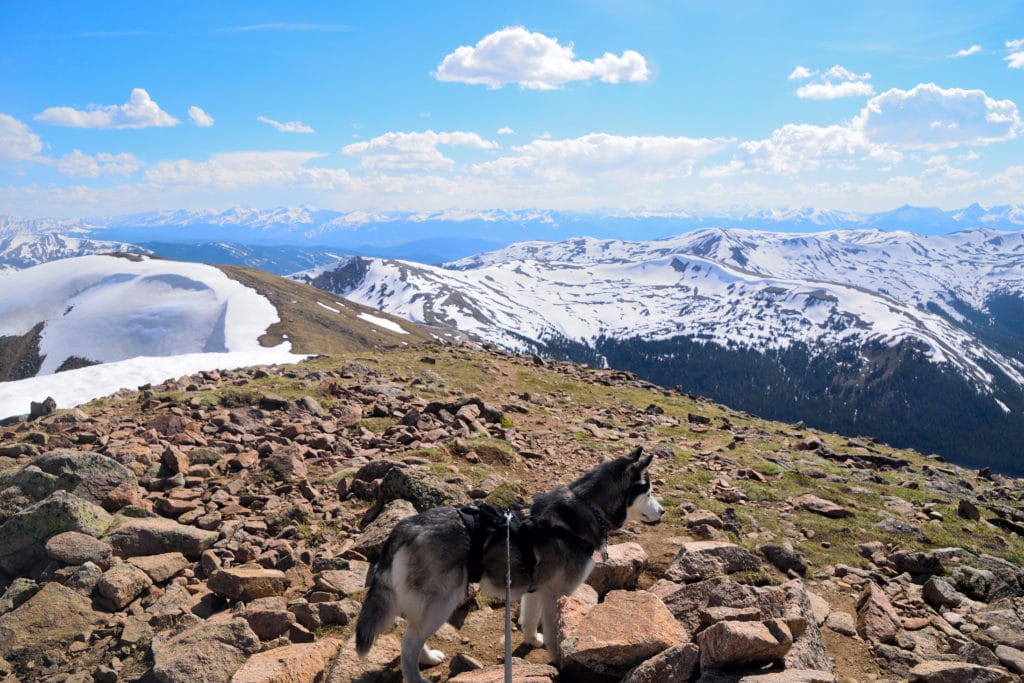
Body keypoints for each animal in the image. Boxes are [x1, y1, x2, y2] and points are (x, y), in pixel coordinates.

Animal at [356, 446, 667, 679]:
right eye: (649, 492)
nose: (663, 512)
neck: (585, 509)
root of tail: (406, 526)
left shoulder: (537, 590)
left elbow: (529, 619)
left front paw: (532, 641)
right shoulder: (557, 596)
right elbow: (556, 638)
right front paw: (559, 661)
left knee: (410, 635)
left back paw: (428, 657)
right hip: (441, 602)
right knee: (408, 643)